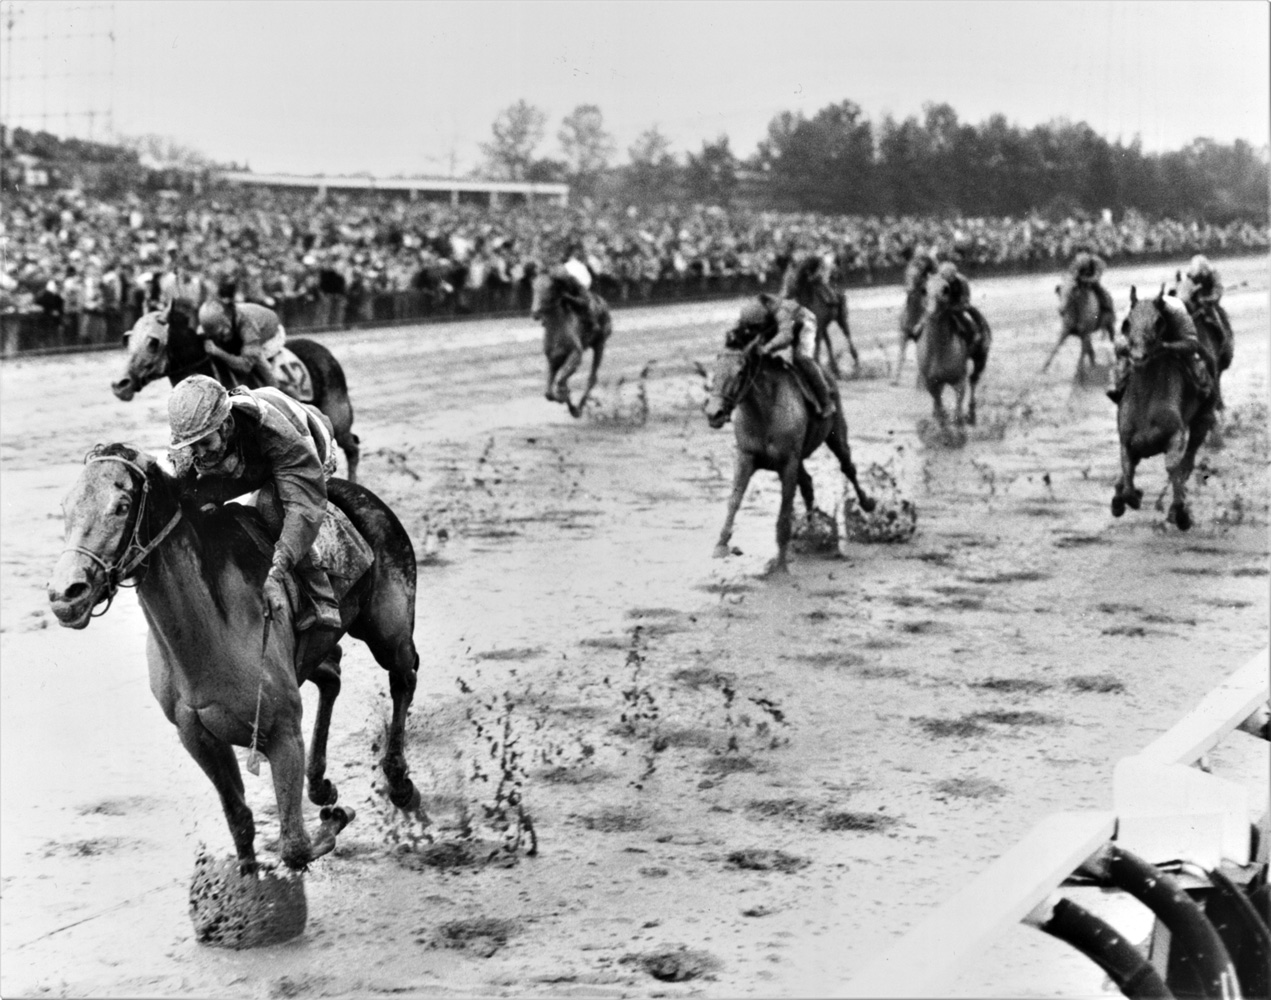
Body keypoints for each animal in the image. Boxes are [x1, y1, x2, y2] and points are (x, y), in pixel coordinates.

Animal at [47, 444, 424, 869]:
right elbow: (240, 822)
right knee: (333, 674)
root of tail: (360, 493)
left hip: (388, 631)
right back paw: (320, 784)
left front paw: (336, 819)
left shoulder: (282, 733)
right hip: (313, 655)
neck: (212, 627)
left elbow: (294, 845)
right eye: (65, 505)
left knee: (403, 677)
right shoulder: (197, 736)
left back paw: (399, 783)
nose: (65, 594)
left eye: (122, 506)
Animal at [111, 304, 360, 485]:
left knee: (353, 446)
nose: (120, 384)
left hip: (338, 417)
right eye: (128, 340)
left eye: (153, 342)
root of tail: (324, 351)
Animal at [528, 271, 612, 416]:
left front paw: (564, 396)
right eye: (534, 288)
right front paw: (564, 397)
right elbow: (548, 392)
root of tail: (602, 302)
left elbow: (561, 381)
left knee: (592, 378)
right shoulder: (553, 359)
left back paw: (580, 407)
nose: (535, 312)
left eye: (548, 289)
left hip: (599, 344)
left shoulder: (575, 354)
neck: (557, 328)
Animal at [706, 345, 874, 574]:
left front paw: (780, 565)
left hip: (836, 436)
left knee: (848, 468)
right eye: (714, 371)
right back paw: (812, 530)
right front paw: (721, 544)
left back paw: (866, 503)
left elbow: (785, 511)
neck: (765, 411)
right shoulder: (745, 457)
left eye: (740, 372)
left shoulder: (788, 464)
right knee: (808, 484)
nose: (713, 413)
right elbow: (734, 500)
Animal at [1113, 287, 1220, 531]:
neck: (1146, 400)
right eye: (1127, 323)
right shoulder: (1127, 441)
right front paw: (1127, 497)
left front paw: (1180, 512)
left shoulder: (1175, 436)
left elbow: (1174, 468)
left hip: (1203, 419)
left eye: (1158, 322)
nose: (1138, 357)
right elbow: (1127, 472)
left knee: (1187, 461)